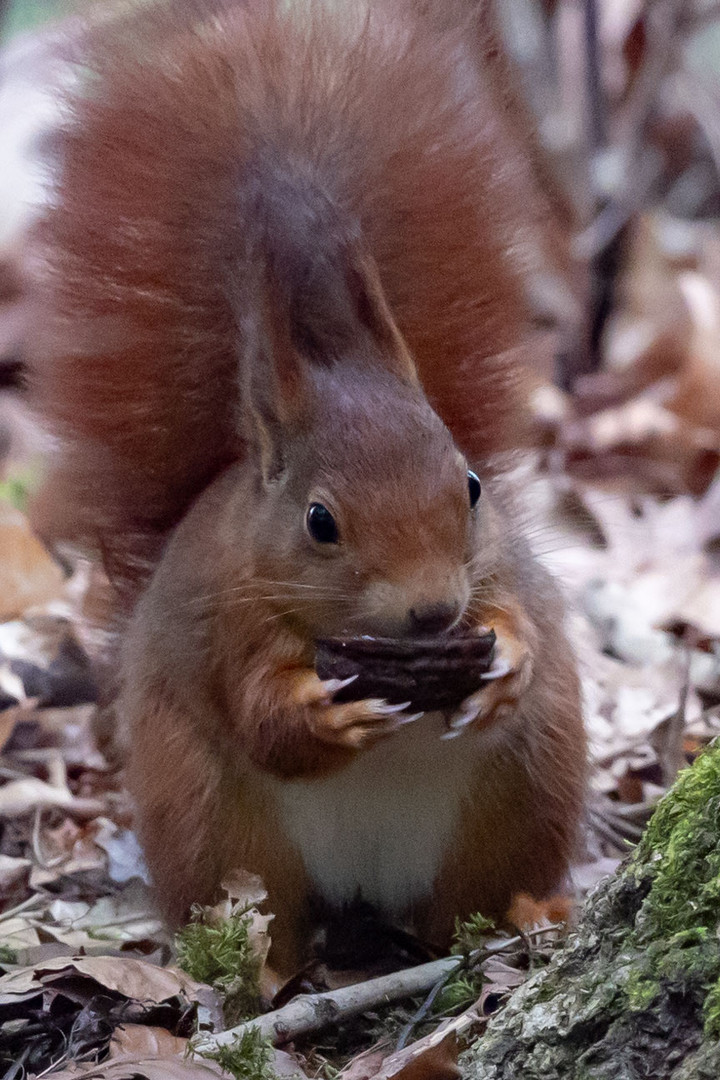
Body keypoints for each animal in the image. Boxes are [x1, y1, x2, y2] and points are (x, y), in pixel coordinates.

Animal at [28, 0, 587, 972]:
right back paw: (264, 970)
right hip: (209, 817)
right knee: (257, 908)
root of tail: (368, 882)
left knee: (467, 903)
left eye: (473, 485)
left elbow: (520, 622)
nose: (435, 613)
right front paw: (324, 720)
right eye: (320, 521)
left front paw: (505, 666)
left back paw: (512, 921)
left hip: (525, 791)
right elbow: (263, 721)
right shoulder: (229, 630)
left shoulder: (498, 572)